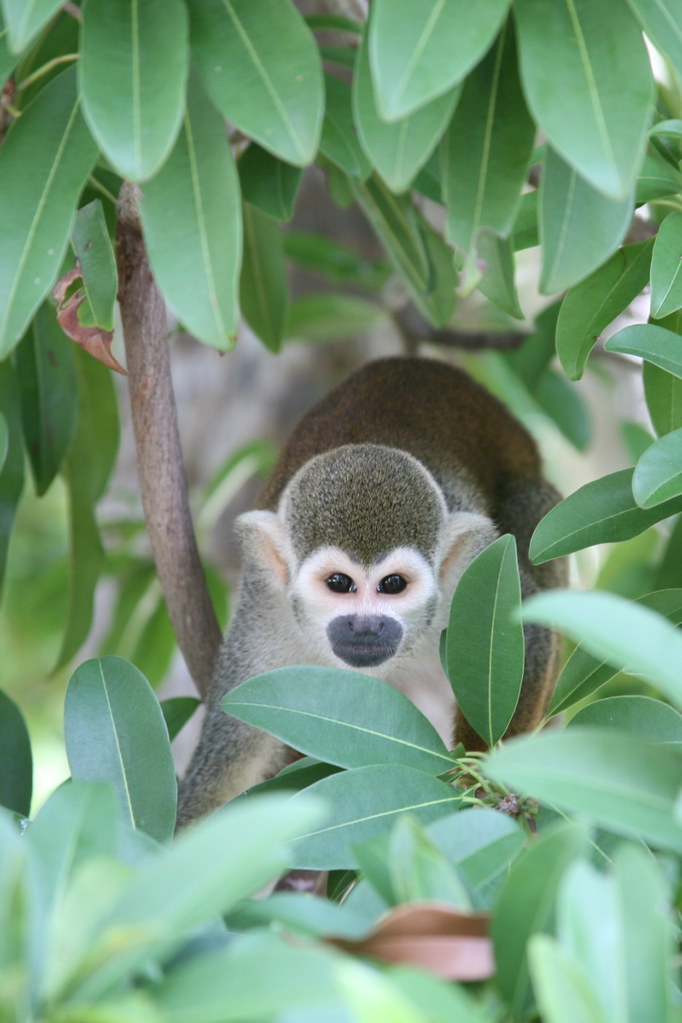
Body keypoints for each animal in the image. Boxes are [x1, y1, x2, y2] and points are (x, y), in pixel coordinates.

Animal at [176, 356, 567, 827]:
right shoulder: (265, 614)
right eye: (339, 583)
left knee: (530, 505)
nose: (365, 626)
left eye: (393, 584)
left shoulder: (474, 571)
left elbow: (530, 634)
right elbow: (228, 765)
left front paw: (483, 784)